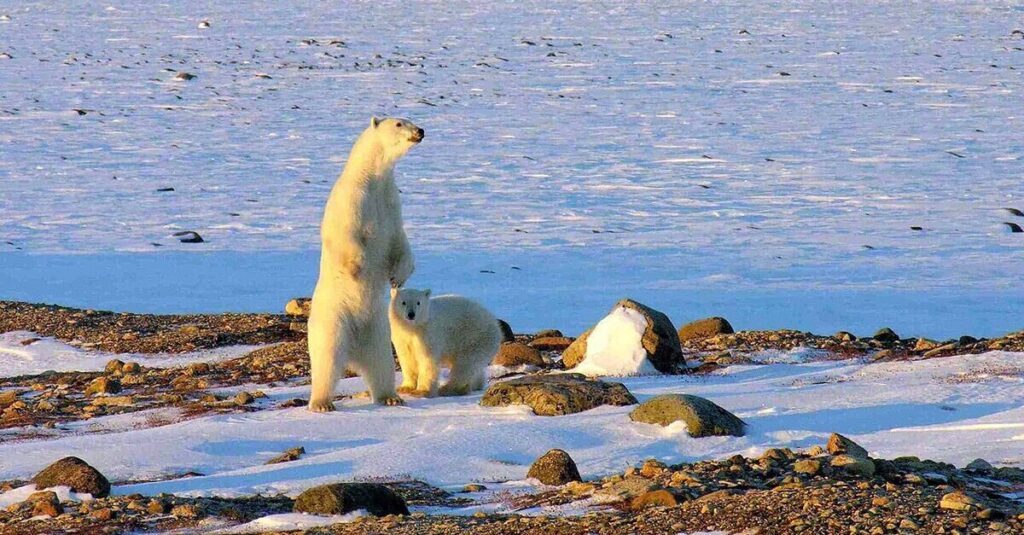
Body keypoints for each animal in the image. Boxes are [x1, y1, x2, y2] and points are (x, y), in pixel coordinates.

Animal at [307, 116, 424, 413]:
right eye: (399, 123)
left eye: (411, 120)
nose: (421, 131)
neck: (373, 178)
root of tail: (354, 349)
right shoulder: (353, 199)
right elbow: (346, 235)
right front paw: (356, 268)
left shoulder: (390, 203)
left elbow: (399, 240)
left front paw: (397, 277)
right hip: (334, 319)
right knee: (327, 359)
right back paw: (322, 402)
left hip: (378, 329)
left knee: (381, 363)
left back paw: (391, 396)